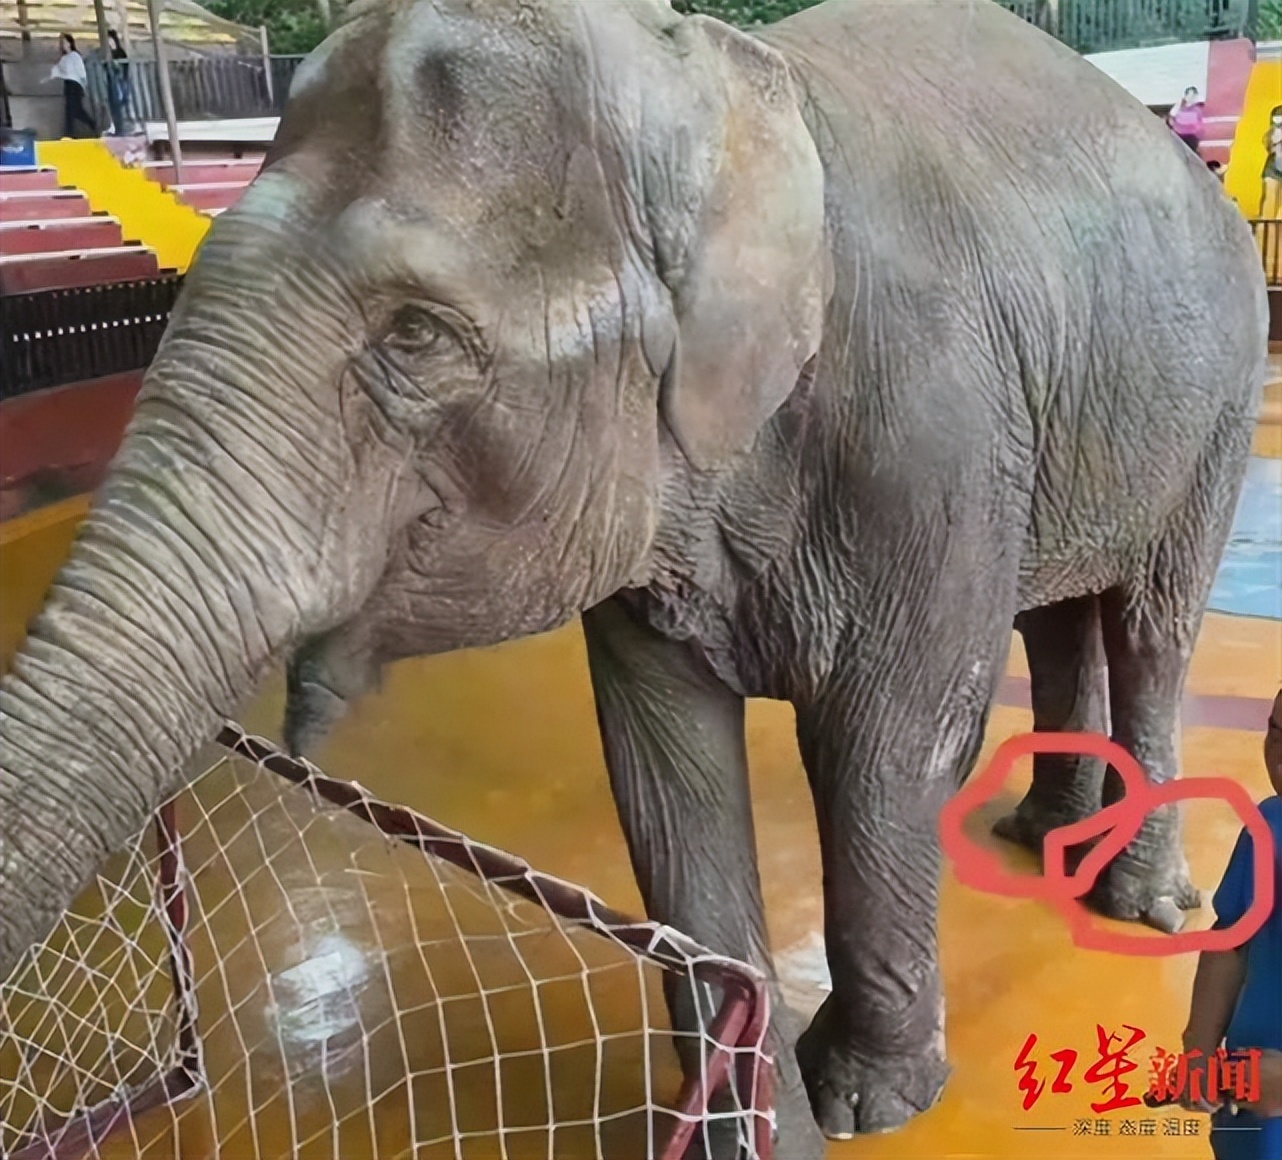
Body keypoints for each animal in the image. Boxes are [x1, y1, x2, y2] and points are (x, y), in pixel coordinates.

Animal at [0, 0, 1268, 1154]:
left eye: (415, 334)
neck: (701, 88)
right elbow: (664, 771)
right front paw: (738, 1119)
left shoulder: (928, 429)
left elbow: (889, 743)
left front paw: (866, 1103)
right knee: (1058, 617)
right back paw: (1043, 831)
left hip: (1220, 383)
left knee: (1149, 627)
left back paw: (1137, 897)